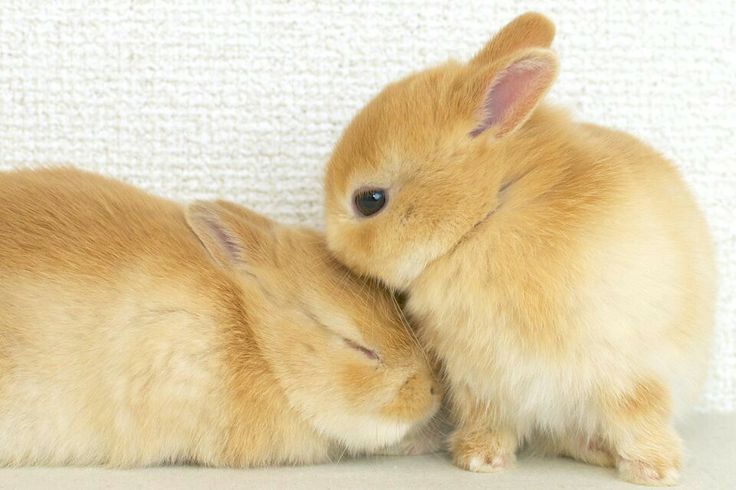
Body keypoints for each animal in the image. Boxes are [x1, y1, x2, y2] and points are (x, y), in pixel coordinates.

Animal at [322, 11, 712, 486]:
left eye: (369, 200)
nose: (332, 246)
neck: (484, 215)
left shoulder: (627, 368)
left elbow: (638, 416)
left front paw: (656, 471)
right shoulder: (479, 382)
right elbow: (489, 421)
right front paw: (480, 461)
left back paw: (646, 465)